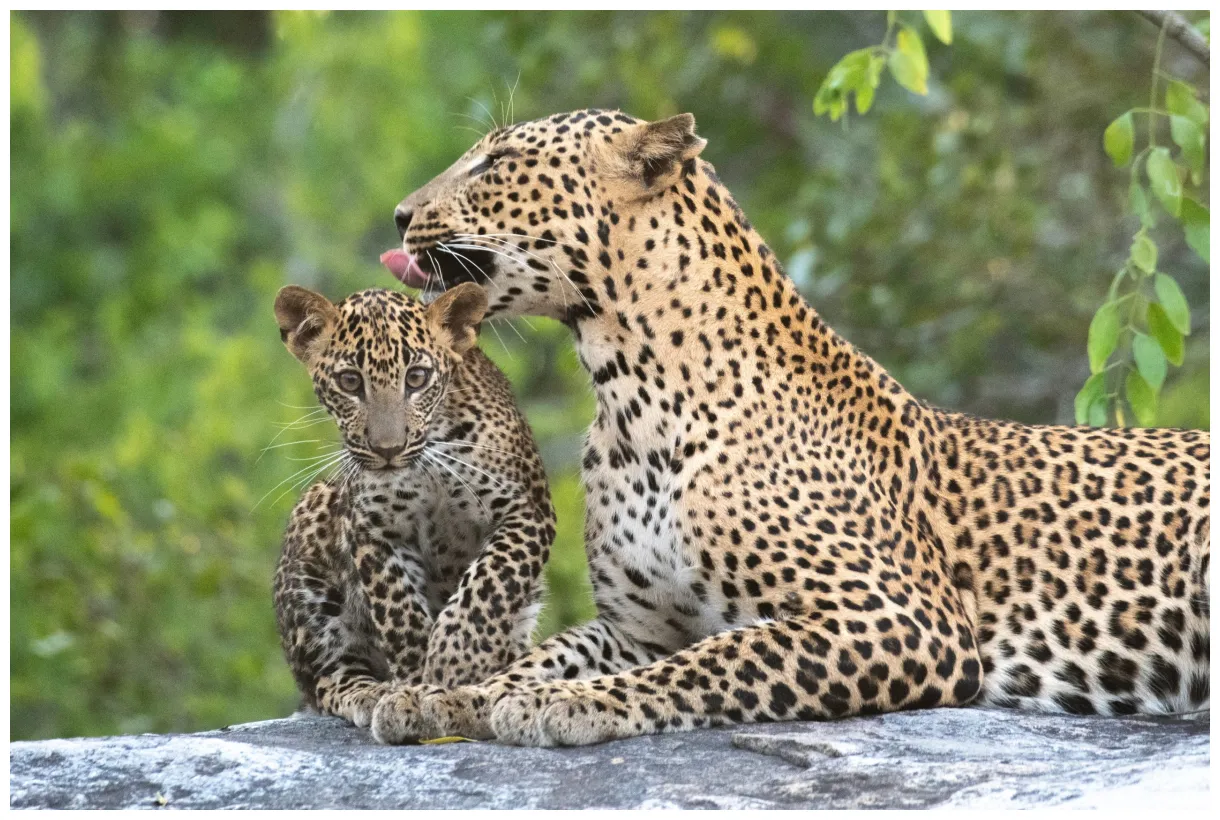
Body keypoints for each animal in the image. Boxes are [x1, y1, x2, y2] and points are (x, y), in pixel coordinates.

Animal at [271, 282, 556, 728]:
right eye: (350, 382)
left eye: (417, 378)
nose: (388, 449)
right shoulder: (372, 529)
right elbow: (399, 612)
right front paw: (414, 687)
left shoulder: (527, 510)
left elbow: (489, 582)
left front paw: (456, 661)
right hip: (313, 528)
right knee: (328, 680)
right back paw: (372, 693)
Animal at [370, 108, 1209, 747]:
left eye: (497, 162)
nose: (401, 217)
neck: (630, 398)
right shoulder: (640, 625)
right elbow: (546, 654)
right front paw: (445, 695)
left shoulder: (903, 618)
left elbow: (716, 659)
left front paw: (567, 704)